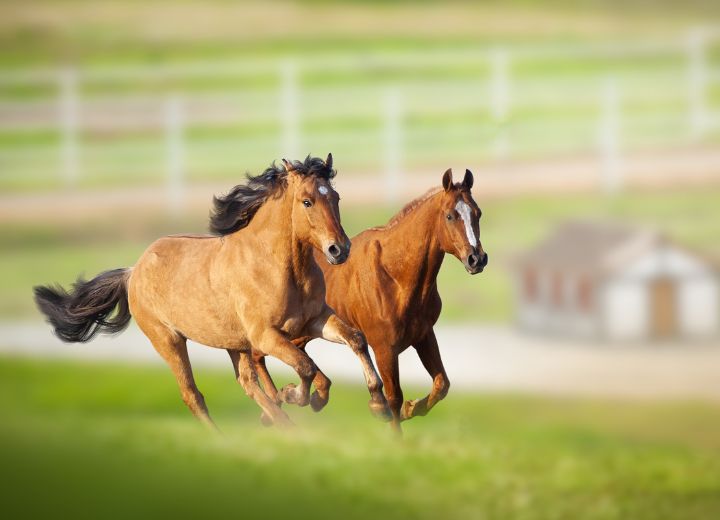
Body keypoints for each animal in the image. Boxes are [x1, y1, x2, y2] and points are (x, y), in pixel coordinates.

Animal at [34, 153, 390, 426]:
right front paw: (297, 394)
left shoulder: (314, 321)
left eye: (336, 197)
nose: (339, 250)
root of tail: (133, 272)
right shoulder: (266, 336)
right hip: (169, 341)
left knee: (247, 383)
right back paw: (226, 435)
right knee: (193, 394)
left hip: (233, 343)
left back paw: (283, 423)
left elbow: (354, 341)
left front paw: (377, 405)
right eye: (307, 201)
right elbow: (306, 366)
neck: (278, 267)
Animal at [256, 167, 486, 430]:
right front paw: (390, 421)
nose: (477, 259)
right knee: (258, 355)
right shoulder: (384, 348)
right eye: (450, 216)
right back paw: (277, 405)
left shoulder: (424, 335)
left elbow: (441, 384)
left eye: (477, 213)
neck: (394, 276)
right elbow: (394, 397)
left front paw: (410, 408)